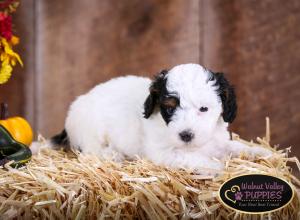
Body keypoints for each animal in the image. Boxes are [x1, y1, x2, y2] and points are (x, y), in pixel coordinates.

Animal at [30, 63, 272, 174]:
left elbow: (236, 147)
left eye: (204, 109)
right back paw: (113, 154)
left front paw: (261, 152)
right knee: (91, 150)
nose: (186, 135)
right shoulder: (163, 152)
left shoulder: (217, 141)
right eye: (170, 108)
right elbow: (191, 158)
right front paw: (215, 167)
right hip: (91, 130)